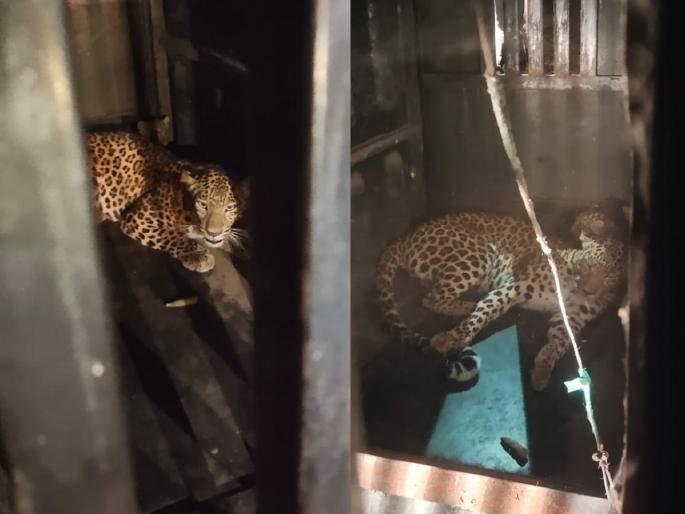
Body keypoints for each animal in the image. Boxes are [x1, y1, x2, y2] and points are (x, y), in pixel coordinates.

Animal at [88, 131, 248, 272]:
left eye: (230, 207)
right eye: (203, 205)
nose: (214, 233)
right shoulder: (139, 218)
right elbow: (172, 236)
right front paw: (198, 255)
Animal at [376, 209, 626, 391]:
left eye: (609, 276)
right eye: (588, 265)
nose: (588, 290)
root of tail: (406, 237)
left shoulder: (571, 316)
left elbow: (559, 342)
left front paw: (542, 368)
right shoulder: (515, 286)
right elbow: (485, 311)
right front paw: (451, 337)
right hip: (478, 252)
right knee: (432, 297)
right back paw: (466, 307)